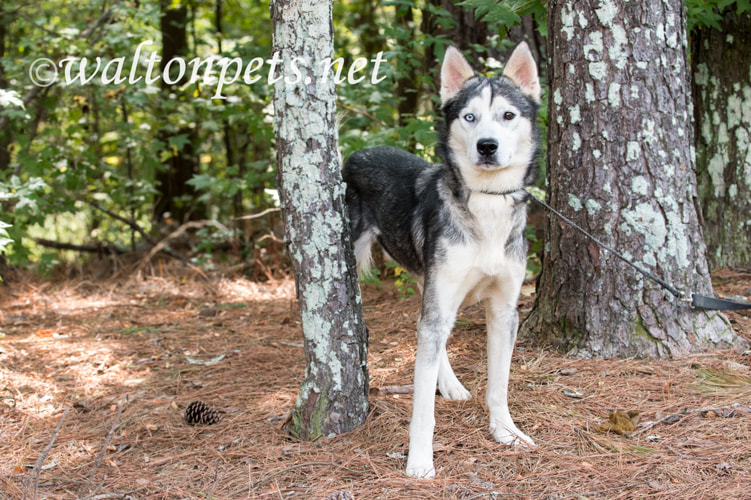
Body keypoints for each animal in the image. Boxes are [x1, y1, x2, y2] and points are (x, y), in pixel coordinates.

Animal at [344, 45, 544, 478]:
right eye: (469, 117)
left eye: (508, 115)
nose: (487, 146)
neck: (487, 202)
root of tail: (357, 151)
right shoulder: (441, 301)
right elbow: (422, 407)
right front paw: (419, 461)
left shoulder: (504, 310)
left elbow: (499, 386)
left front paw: (505, 432)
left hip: (429, 281)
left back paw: (449, 383)